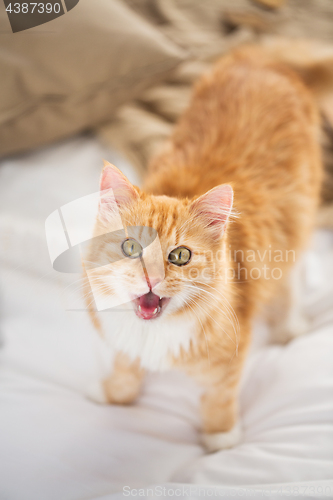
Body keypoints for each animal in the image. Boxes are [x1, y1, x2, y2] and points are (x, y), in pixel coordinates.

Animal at [85, 47, 322, 454]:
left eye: (179, 256)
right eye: (130, 247)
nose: (151, 277)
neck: (155, 333)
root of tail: (261, 58)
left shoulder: (230, 355)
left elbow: (219, 397)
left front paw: (221, 437)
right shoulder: (123, 340)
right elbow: (125, 365)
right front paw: (116, 393)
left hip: (298, 214)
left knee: (291, 275)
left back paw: (288, 325)